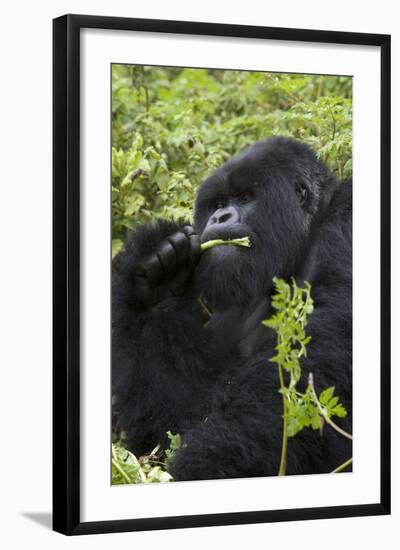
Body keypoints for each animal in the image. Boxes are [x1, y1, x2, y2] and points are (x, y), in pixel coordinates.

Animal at [111, 138, 352, 484]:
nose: (219, 217)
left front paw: (205, 464)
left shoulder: (347, 222)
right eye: (217, 203)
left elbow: (315, 367)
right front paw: (158, 284)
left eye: (245, 197)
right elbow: (167, 424)